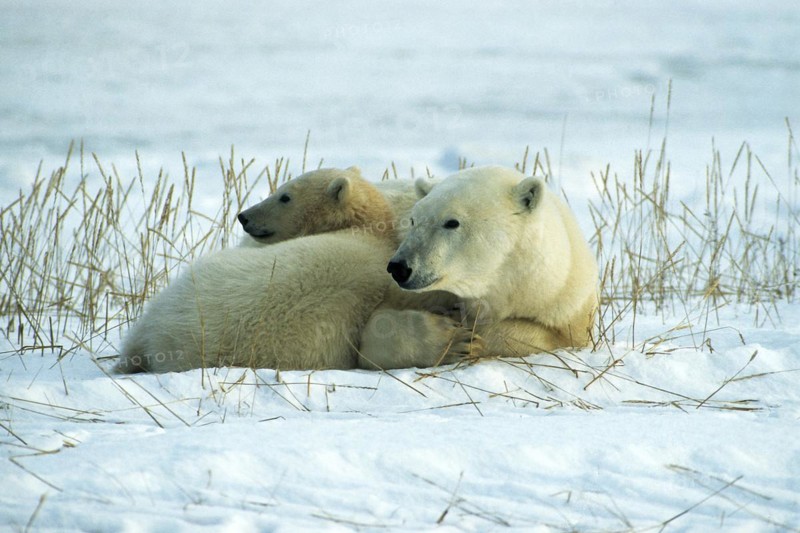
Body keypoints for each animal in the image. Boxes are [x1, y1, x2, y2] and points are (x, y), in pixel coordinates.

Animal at [356, 165, 598, 369]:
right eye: (414, 220)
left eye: (451, 222)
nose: (399, 267)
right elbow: (377, 328)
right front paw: (455, 340)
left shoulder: (565, 302)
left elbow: (544, 336)